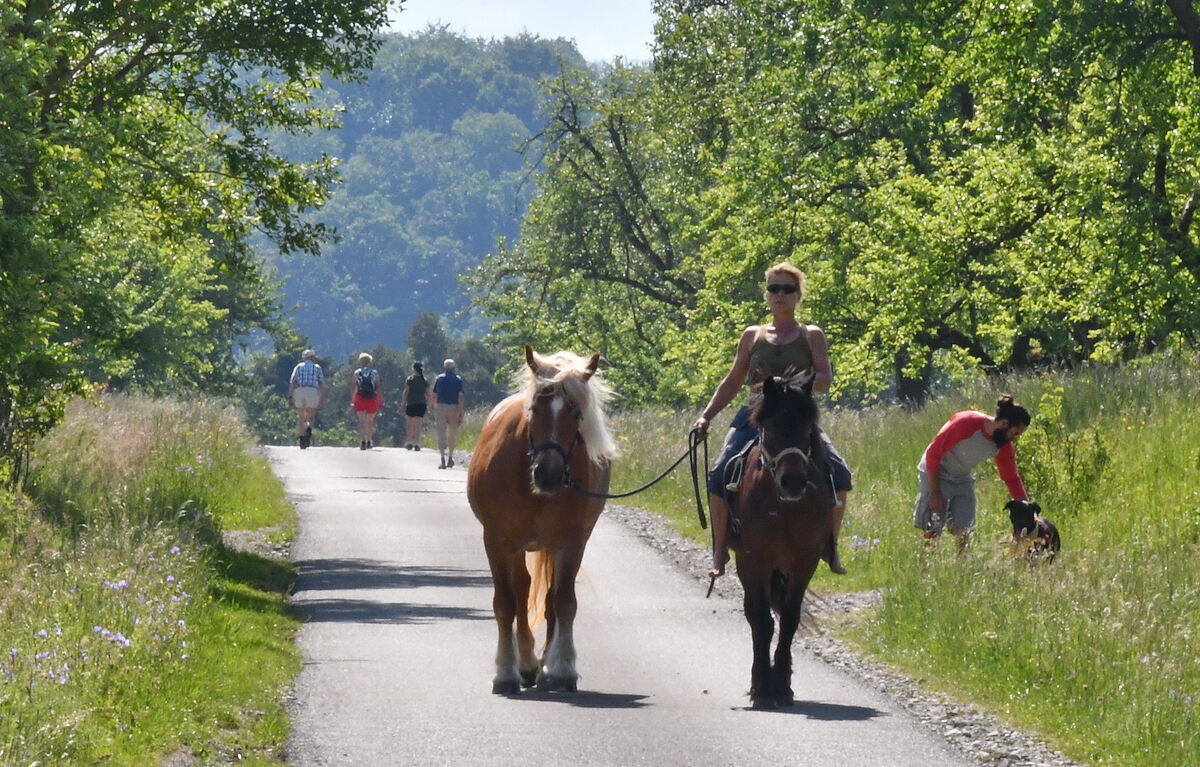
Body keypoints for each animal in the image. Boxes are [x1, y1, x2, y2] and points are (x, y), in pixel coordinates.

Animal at [466, 345, 617, 694]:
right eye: (535, 408)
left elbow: (564, 602)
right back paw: (525, 663)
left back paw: (544, 662)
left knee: (548, 598)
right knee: (521, 591)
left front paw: (562, 667)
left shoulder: (571, 544)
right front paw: (505, 672)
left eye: (576, 413)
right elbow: (505, 603)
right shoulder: (497, 541)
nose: (548, 474)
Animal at [729, 372, 838, 708]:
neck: (784, 505)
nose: (793, 482)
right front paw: (762, 688)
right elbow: (763, 621)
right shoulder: (755, 560)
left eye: (806, 428)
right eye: (772, 427)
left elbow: (790, 619)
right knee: (753, 613)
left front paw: (782, 686)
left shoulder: (805, 561)